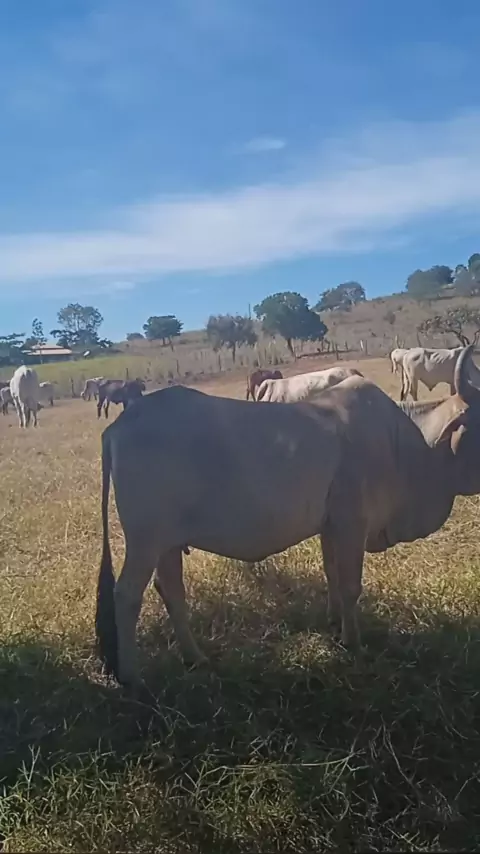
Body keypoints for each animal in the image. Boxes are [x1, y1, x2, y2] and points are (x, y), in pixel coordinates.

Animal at [95, 345, 480, 690]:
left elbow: (332, 575)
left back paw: (195, 657)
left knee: (171, 590)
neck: (403, 440)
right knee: (127, 595)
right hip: (145, 541)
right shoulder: (351, 524)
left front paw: (334, 622)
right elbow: (351, 586)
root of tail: (120, 424)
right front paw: (353, 643)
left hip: (167, 543)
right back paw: (132, 676)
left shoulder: (330, 527)